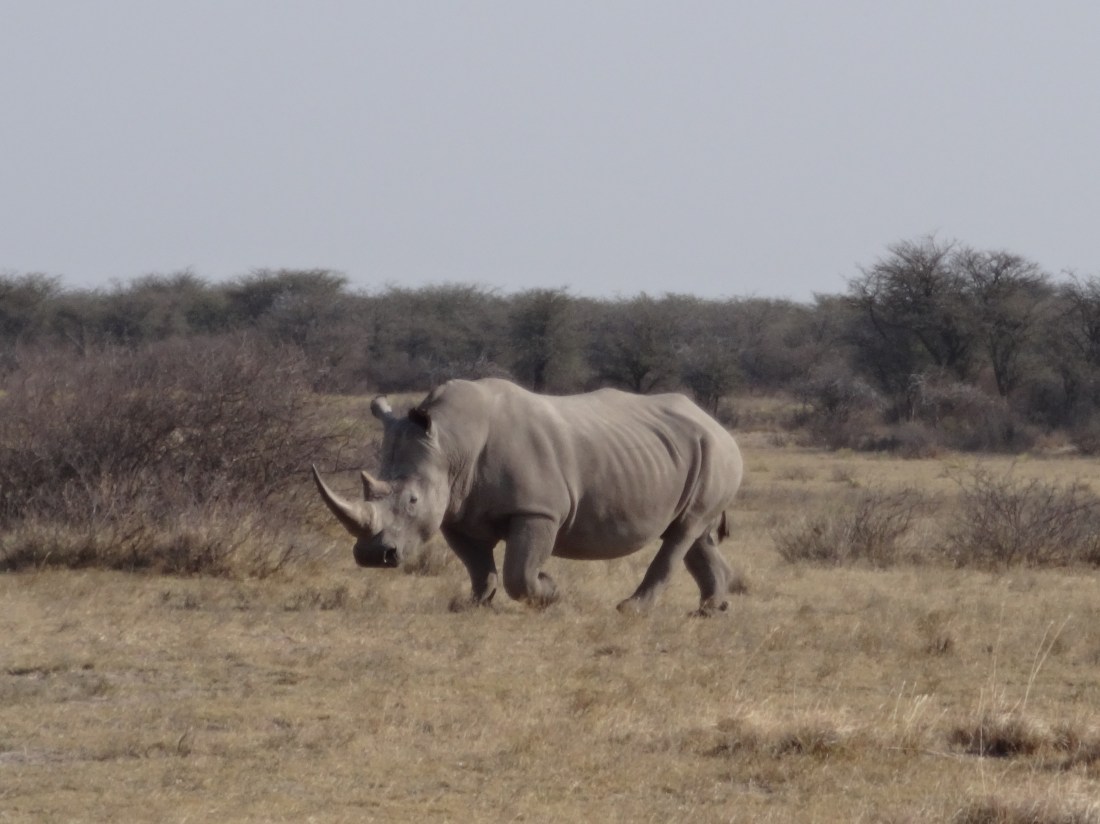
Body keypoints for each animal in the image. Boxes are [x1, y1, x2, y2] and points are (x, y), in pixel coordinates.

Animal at [312, 378, 744, 613]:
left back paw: (631, 609)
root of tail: (716, 423)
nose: (373, 557)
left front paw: (550, 591)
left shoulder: (538, 510)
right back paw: (712, 610)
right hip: (693, 453)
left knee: (683, 532)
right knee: (695, 533)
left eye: (412, 501)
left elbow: (519, 571)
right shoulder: (457, 511)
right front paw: (471, 605)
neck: (450, 443)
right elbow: (477, 565)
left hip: (717, 451)